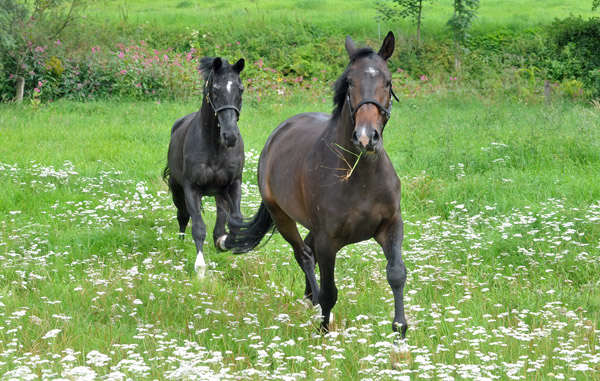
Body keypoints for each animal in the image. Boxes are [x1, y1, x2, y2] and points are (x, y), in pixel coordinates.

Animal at [163, 55, 245, 276]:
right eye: (215, 90)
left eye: (241, 89)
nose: (230, 136)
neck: (215, 148)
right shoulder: (191, 188)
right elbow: (198, 227)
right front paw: (200, 268)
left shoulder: (233, 184)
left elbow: (235, 221)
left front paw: (224, 242)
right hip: (177, 189)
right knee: (183, 216)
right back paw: (180, 245)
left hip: (219, 192)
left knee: (221, 215)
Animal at [225, 32, 408, 340]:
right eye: (350, 82)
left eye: (388, 81)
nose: (366, 137)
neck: (359, 176)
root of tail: (277, 134)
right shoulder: (328, 241)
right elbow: (330, 292)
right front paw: (324, 331)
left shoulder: (390, 225)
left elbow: (396, 273)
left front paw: (400, 333)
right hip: (283, 218)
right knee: (304, 255)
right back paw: (313, 302)